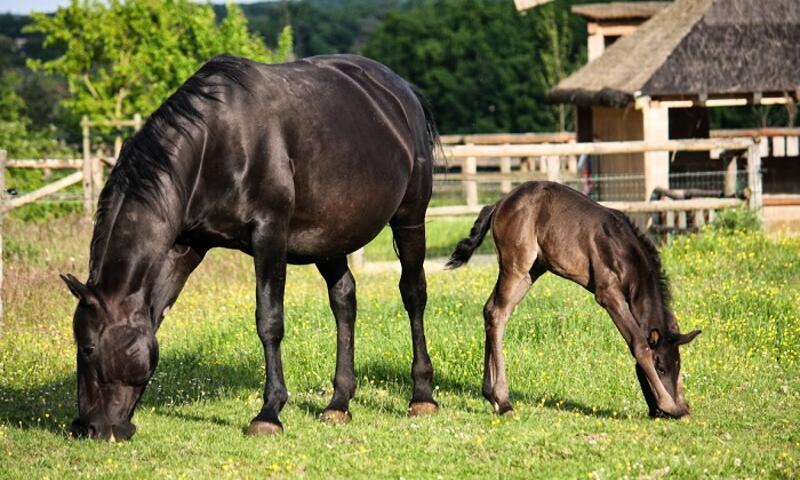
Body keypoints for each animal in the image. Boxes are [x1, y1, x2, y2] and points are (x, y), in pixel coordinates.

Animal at [60, 54, 440, 440]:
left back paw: (422, 395)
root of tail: (403, 93)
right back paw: (339, 403)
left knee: (413, 293)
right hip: (329, 237)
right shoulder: (186, 248)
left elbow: (269, 321)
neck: (214, 143)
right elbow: (153, 318)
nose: (89, 427)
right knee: (344, 300)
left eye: (88, 347)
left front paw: (269, 412)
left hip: (410, 217)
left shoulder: (269, 234)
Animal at [446, 182, 704, 418]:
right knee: (496, 312)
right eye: (659, 367)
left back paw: (492, 396)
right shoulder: (608, 293)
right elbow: (639, 344)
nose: (665, 411)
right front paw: (671, 406)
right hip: (516, 264)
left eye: (678, 365)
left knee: (493, 310)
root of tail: (499, 204)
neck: (623, 251)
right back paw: (503, 401)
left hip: (532, 271)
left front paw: (680, 405)